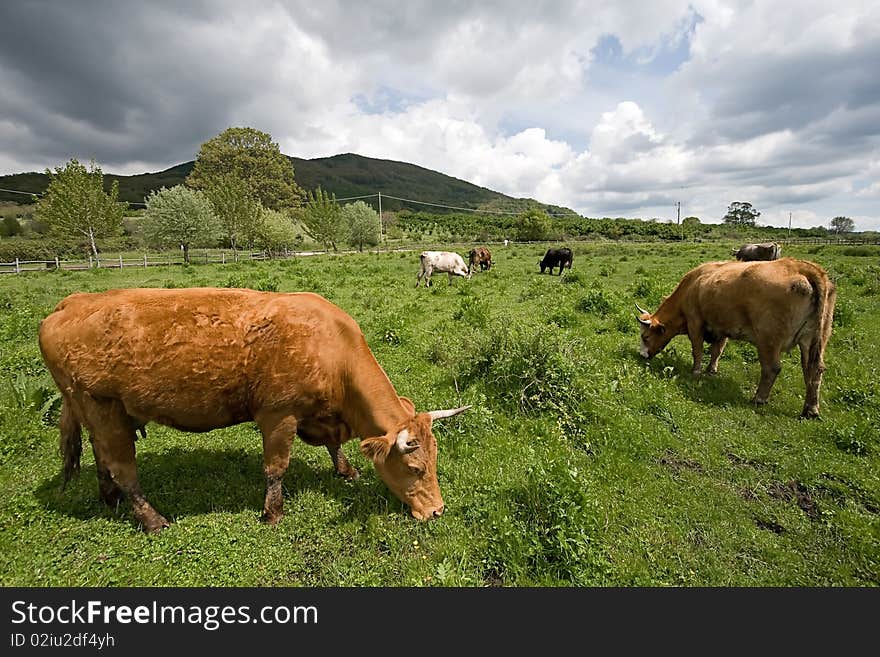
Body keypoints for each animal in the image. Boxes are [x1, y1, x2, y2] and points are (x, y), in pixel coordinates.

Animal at [37, 290, 470, 532]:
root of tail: (69, 302)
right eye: (414, 468)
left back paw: (108, 498)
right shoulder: (279, 416)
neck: (333, 349)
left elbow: (334, 447)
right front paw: (272, 513)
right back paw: (153, 520)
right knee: (124, 469)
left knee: (102, 457)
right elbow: (276, 468)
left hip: (97, 411)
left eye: (435, 463)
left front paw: (346, 470)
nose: (437, 511)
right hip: (101, 406)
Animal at [636, 256, 836, 416]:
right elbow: (717, 350)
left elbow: (697, 349)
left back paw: (759, 398)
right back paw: (811, 408)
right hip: (814, 339)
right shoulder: (721, 327)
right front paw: (711, 370)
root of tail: (800, 267)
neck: (693, 285)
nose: (642, 355)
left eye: (645, 337)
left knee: (772, 368)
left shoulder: (695, 322)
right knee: (814, 369)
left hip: (768, 340)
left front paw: (696, 371)